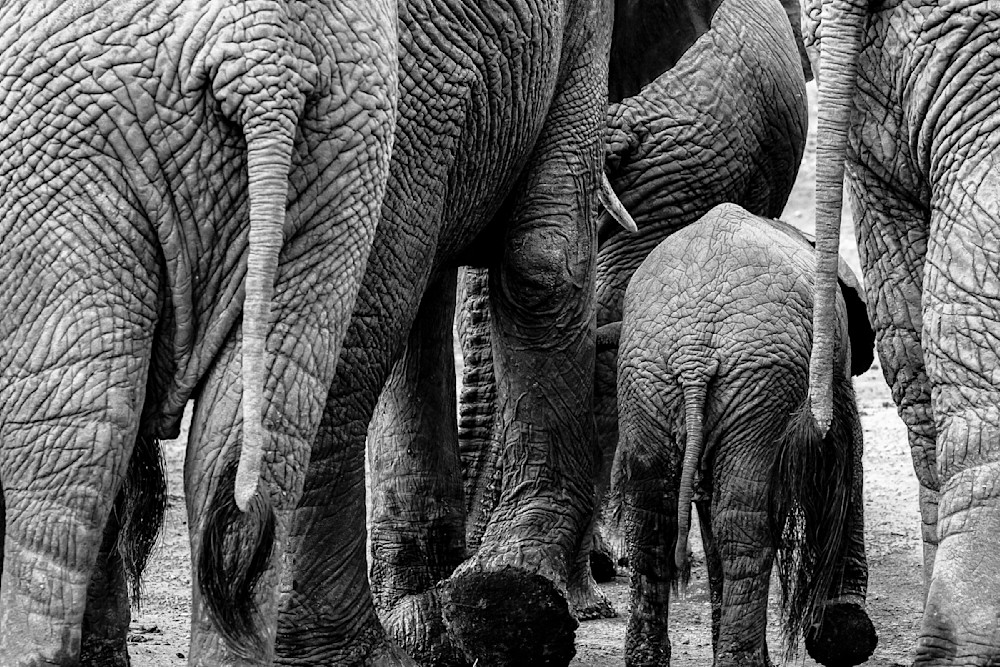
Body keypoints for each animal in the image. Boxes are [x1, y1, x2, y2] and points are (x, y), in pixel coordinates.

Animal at [613, 203, 877, 667]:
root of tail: (694, 352)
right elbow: (846, 457)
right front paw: (846, 635)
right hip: (759, 383)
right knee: (743, 526)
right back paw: (744, 661)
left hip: (649, 380)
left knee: (654, 519)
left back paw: (651, 659)